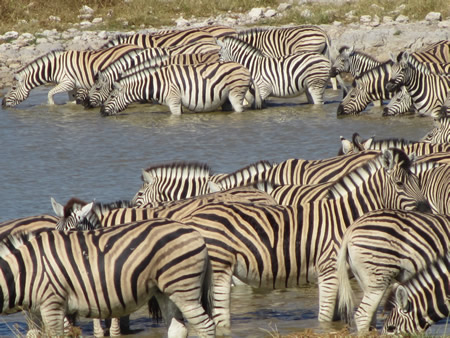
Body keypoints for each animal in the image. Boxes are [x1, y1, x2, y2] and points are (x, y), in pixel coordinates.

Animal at [0, 218, 216, 336]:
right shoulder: (39, 311)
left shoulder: (52, 304)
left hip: (183, 286)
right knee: (178, 328)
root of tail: (196, 232)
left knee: (205, 326)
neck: (25, 270)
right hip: (165, 291)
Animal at [1, 43, 142, 107]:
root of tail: (136, 47)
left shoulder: (67, 83)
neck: (54, 67)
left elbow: (50, 94)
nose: (2, 103)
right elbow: (71, 100)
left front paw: (52, 107)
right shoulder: (72, 86)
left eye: (13, 88)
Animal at [51, 149, 428, 328]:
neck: (343, 217)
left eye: (414, 181)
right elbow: (326, 314)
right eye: (400, 184)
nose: (427, 210)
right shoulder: (328, 269)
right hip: (219, 270)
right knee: (219, 316)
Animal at [100, 61, 258, 116]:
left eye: (112, 96)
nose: (101, 112)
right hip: (226, 98)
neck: (157, 84)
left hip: (236, 93)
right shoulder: (178, 101)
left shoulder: (173, 100)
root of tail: (246, 68)